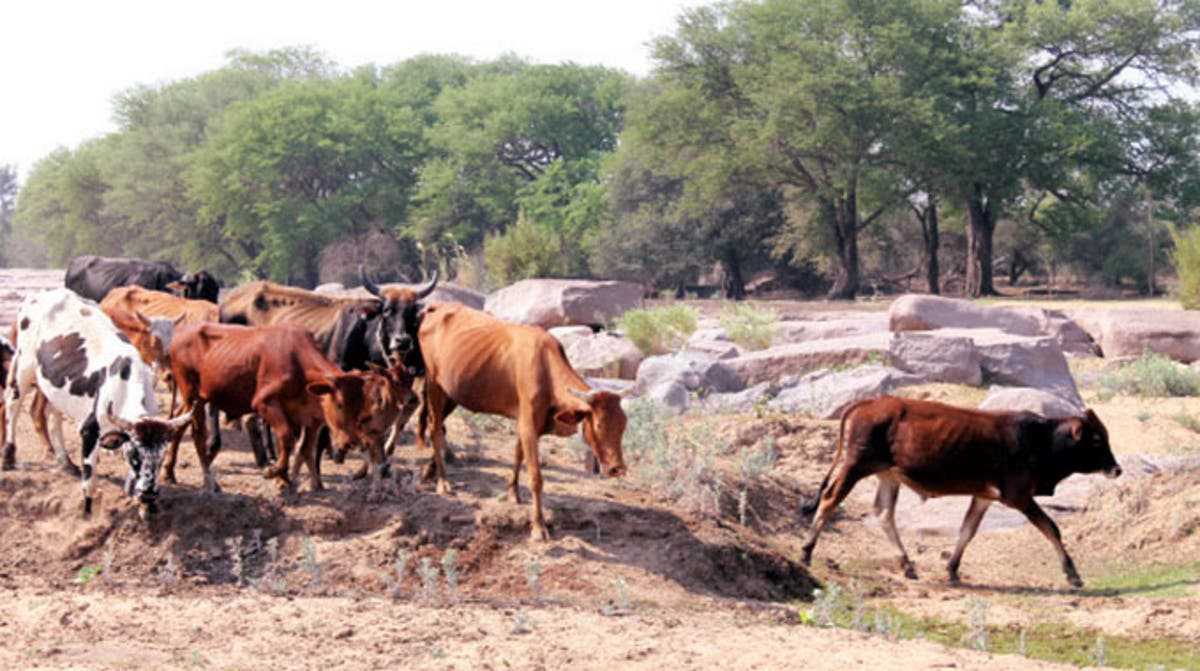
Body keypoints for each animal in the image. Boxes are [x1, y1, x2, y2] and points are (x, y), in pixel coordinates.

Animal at [2, 289, 192, 518]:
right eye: (135, 454)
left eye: (161, 457)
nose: (148, 494)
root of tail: (44, 293)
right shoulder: (89, 432)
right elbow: (89, 481)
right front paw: (88, 510)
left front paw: (143, 505)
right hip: (24, 366)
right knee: (13, 405)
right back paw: (9, 455)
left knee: (53, 416)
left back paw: (65, 461)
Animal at [167, 322, 410, 493]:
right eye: (340, 404)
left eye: (361, 407)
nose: (350, 443)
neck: (297, 361)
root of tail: (180, 333)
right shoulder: (264, 403)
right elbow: (286, 437)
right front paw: (276, 472)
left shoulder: (311, 418)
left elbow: (304, 449)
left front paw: (301, 482)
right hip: (193, 396)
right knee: (198, 434)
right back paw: (210, 481)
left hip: (192, 401)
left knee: (177, 425)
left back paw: (168, 473)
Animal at [413, 303, 628, 541]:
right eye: (598, 426)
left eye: (623, 426)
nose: (617, 468)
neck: (546, 369)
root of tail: (438, 307)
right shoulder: (528, 425)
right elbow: (536, 477)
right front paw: (538, 526)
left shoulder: (526, 422)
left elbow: (517, 454)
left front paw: (512, 493)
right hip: (434, 384)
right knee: (434, 428)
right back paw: (442, 481)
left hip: (453, 392)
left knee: (438, 426)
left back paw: (429, 471)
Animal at [800, 396, 1122, 588]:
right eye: (1096, 439)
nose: (1116, 469)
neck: (1041, 440)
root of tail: (865, 403)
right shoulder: (1018, 496)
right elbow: (1051, 527)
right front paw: (1073, 574)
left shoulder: (984, 496)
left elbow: (967, 530)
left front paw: (952, 570)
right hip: (855, 466)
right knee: (829, 500)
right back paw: (806, 552)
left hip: (888, 475)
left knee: (883, 514)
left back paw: (907, 565)